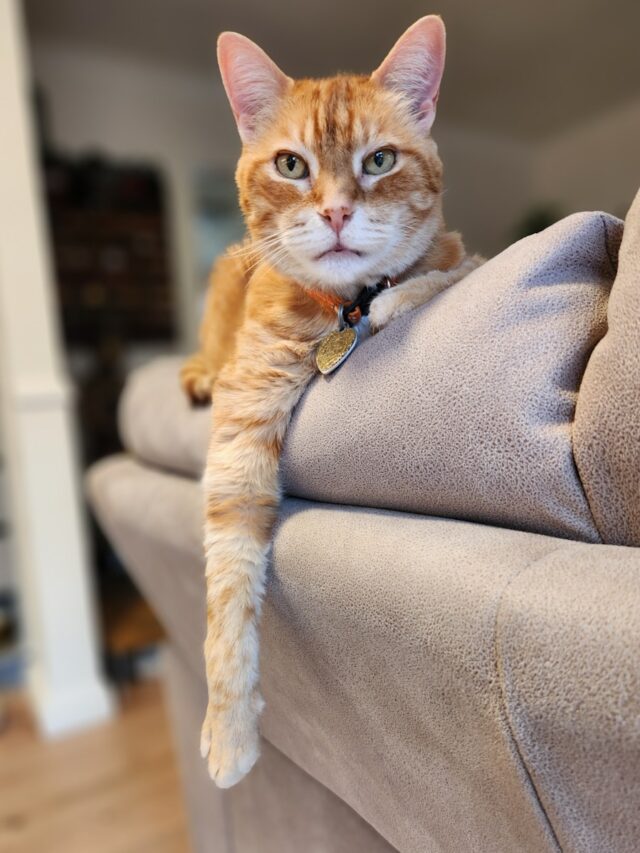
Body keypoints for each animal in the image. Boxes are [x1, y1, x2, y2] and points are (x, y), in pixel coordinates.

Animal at [180, 13, 480, 784]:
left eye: (380, 161)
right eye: (291, 166)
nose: (339, 212)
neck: (340, 310)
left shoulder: (462, 256)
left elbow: (442, 273)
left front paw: (397, 297)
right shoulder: (240, 435)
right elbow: (227, 586)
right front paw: (229, 728)